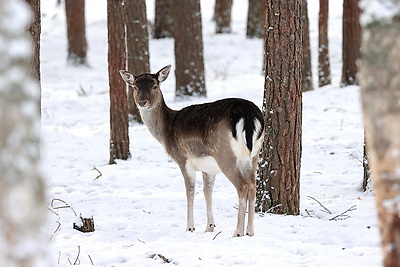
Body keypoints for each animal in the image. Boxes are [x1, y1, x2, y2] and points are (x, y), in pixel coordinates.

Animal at [119, 66, 262, 238]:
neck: (167, 130)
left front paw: (190, 227)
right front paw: (210, 227)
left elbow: (190, 191)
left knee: (242, 186)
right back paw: (250, 231)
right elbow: (207, 191)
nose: (142, 102)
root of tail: (248, 115)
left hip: (225, 155)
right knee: (253, 185)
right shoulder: (209, 167)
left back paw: (238, 232)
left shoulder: (183, 159)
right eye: (135, 87)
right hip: (254, 155)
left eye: (155, 86)